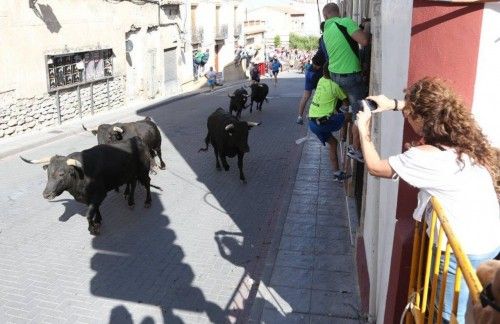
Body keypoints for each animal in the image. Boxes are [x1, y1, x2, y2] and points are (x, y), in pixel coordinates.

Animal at [20, 137, 152, 235]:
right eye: (47, 173)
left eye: (61, 174)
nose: (46, 194)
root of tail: (137, 140)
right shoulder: (89, 197)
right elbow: (95, 209)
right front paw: (98, 221)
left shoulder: (99, 194)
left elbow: (89, 214)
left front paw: (93, 228)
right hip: (131, 173)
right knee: (133, 183)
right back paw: (130, 201)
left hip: (143, 171)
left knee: (147, 183)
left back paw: (147, 202)